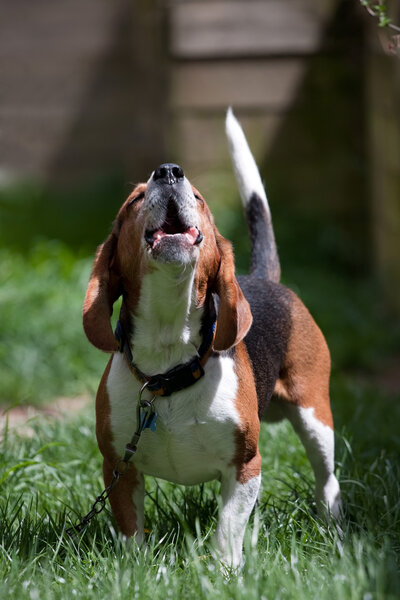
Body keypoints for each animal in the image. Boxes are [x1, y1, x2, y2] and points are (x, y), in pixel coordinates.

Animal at [83, 109, 340, 568]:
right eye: (134, 200)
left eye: (199, 197)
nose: (169, 170)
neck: (168, 364)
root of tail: (264, 278)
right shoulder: (118, 467)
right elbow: (130, 532)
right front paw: (134, 572)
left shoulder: (246, 465)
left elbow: (227, 532)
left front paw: (225, 573)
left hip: (315, 417)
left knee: (327, 479)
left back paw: (331, 526)